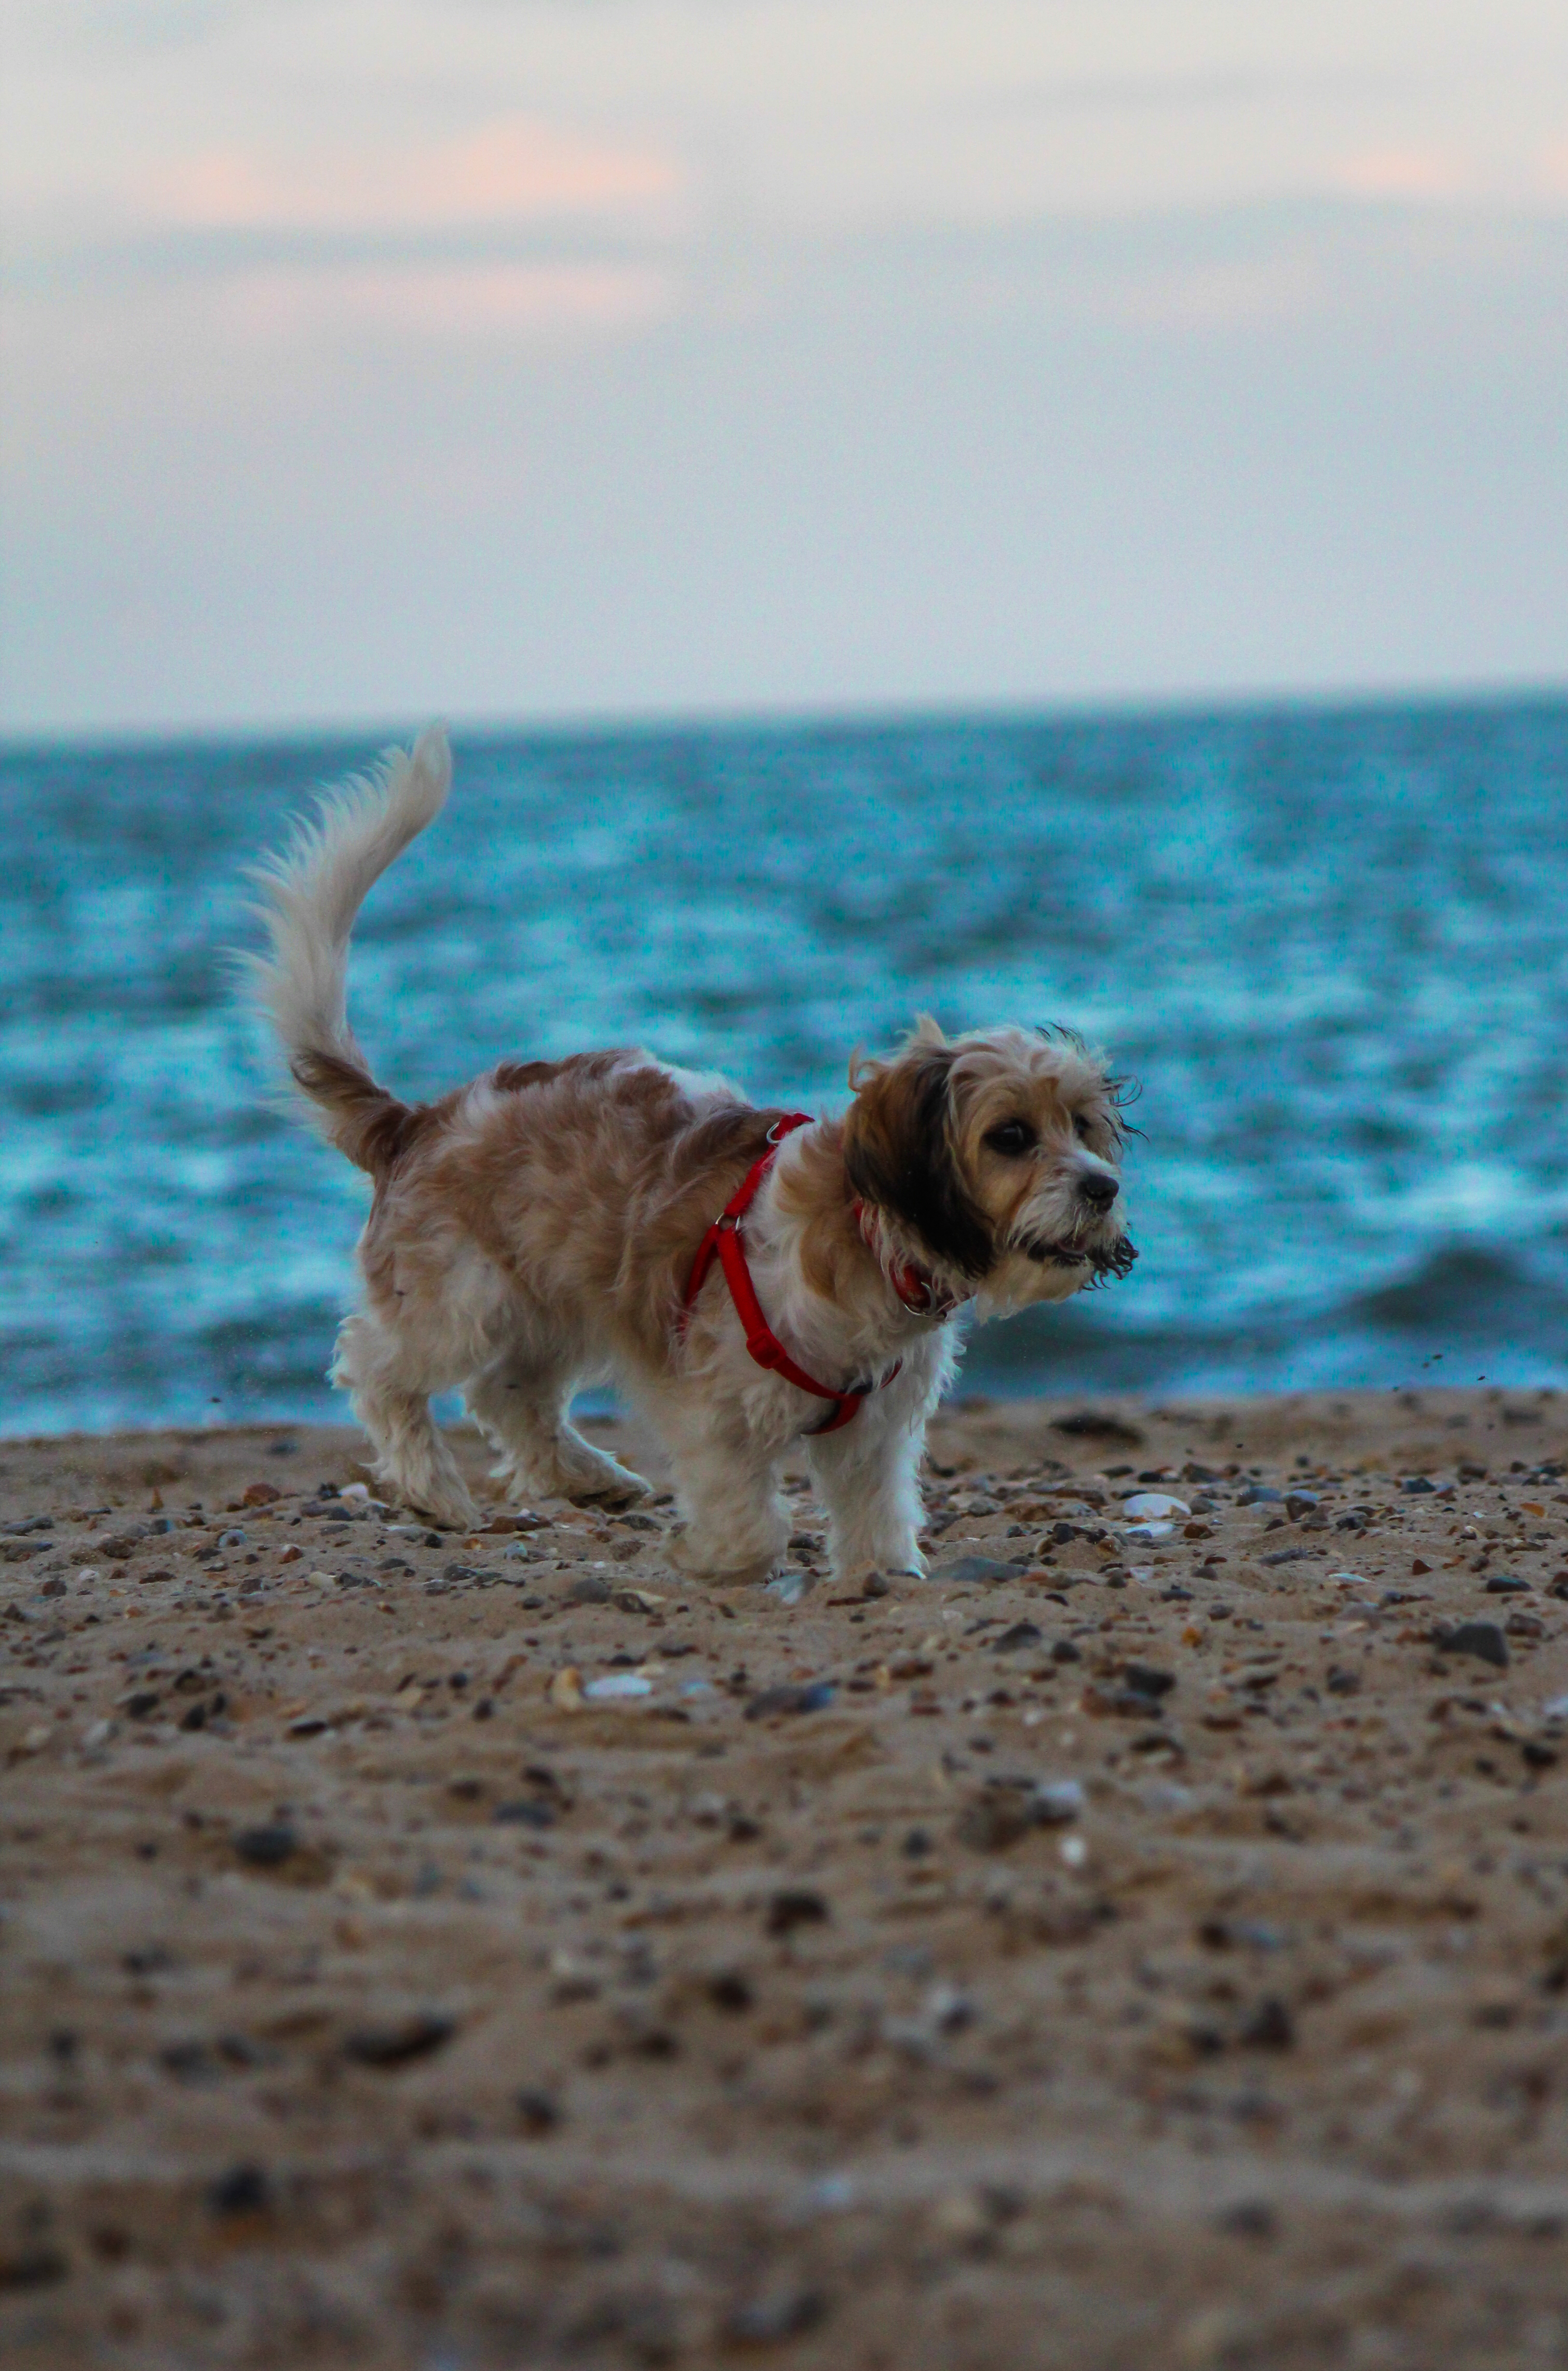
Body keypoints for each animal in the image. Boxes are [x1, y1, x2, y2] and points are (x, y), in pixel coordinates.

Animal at [244, 730, 1129, 1583]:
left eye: (1082, 1125)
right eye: (1010, 1136)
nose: (1105, 1187)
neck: (865, 1238)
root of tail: (416, 1120)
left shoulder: (873, 1430)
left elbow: (876, 1510)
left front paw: (884, 1570)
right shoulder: (711, 1408)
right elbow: (748, 1522)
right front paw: (711, 1560)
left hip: (551, 1299)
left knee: (507, 1394)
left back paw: (586, 1476)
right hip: (459, 1302)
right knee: (377, 1369)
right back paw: (432, 1486)